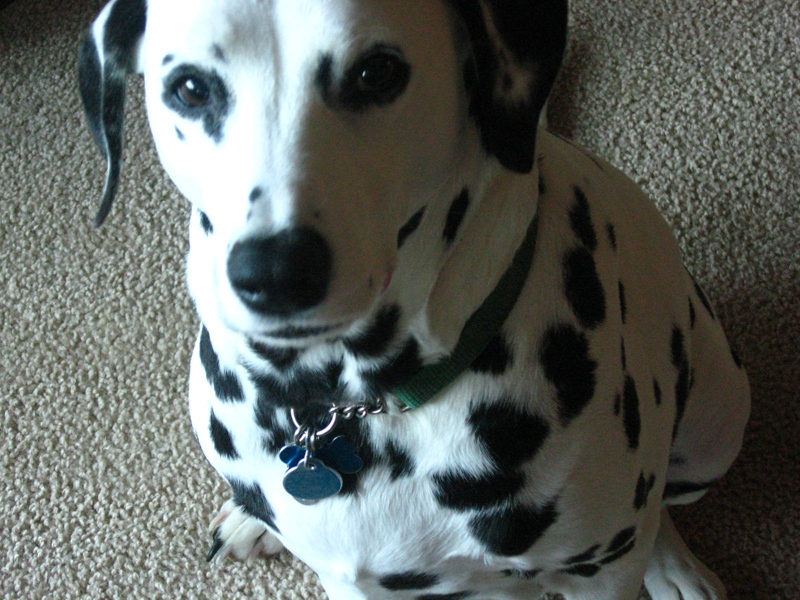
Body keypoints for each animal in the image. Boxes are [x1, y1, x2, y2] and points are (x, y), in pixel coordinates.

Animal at [76, 1, 752, 600]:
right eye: (190, 88)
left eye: (376, 72)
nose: (274, 272)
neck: (353, 406)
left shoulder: (600, 574)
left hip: (715, 426)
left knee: (661, 504)